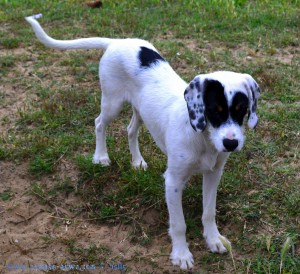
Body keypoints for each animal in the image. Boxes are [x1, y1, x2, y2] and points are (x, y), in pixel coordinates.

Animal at [25, 14, 260, 270]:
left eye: (241, 110)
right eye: (214, 111)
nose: (230, 144)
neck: (203, 138)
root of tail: (116, 41)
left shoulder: (214, 173)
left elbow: (209, 212)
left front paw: (214, 239)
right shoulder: (173, 181)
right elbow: (178, 224)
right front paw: (181, 254)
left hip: (140, 109)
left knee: (130, 130)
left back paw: (136, 162)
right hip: (112, 102)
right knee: (99, 123)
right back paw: (101, 157)